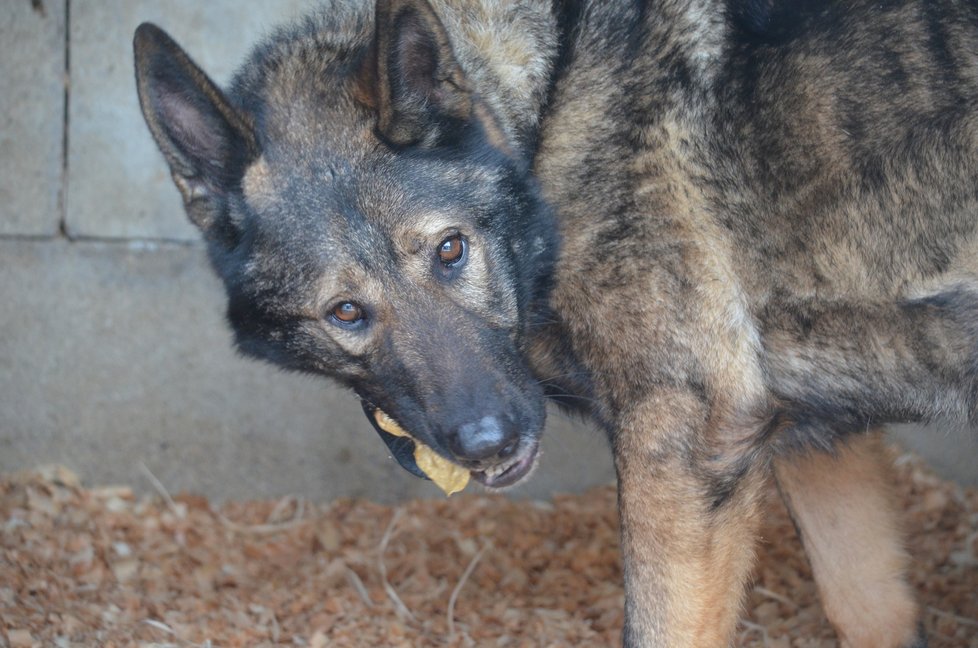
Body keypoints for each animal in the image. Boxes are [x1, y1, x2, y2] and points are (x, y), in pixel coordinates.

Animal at [135, 0, 976, 644]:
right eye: (346, 312)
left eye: (450, 251)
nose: (487, 442)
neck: (549, 105)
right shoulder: (815, 445)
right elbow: (866, 607)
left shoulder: (683, 448)